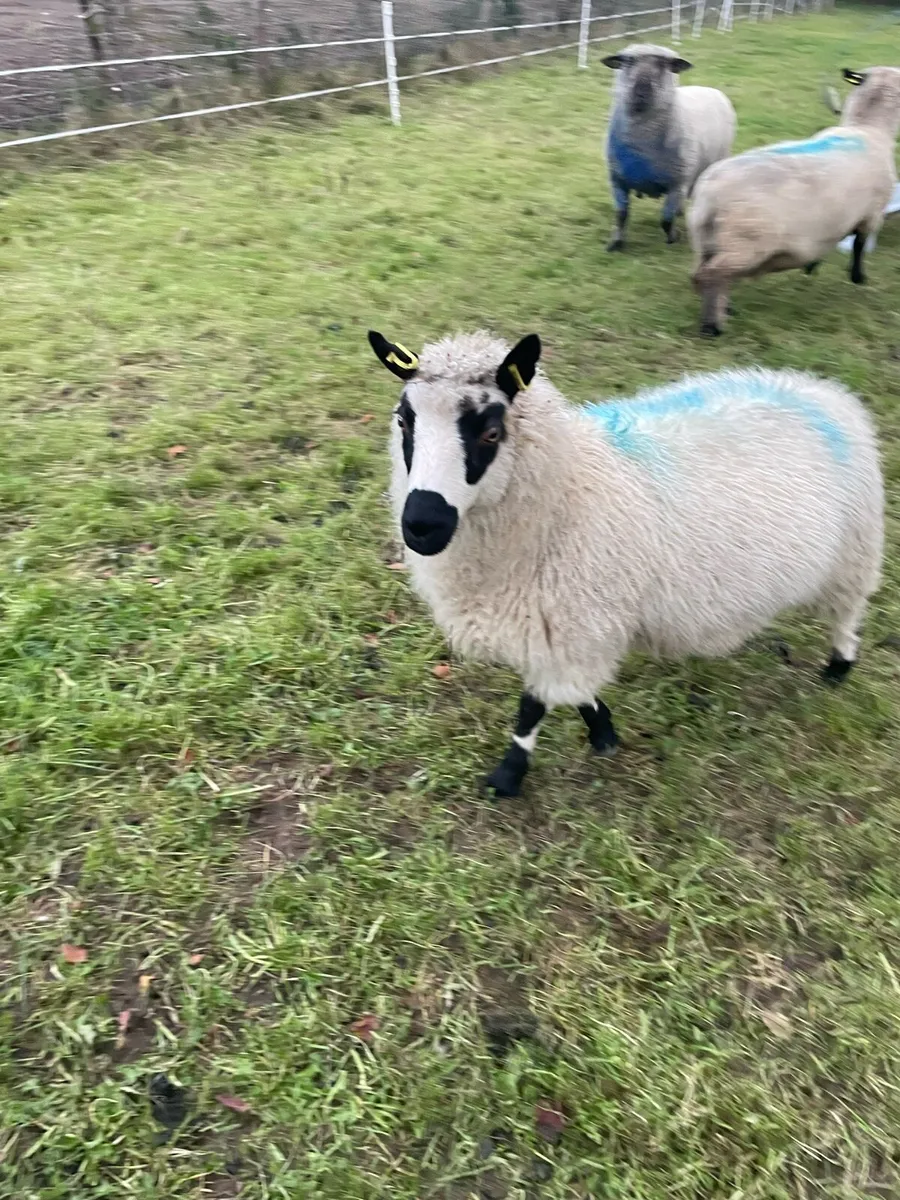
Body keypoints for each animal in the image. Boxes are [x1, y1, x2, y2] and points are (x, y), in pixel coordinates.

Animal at [367, 328, 883, 798]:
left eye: (492, 432)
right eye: (404, 422)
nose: (421, 524)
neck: (566, 489)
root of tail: (819, 387)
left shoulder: (570, 621)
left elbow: (533, 706)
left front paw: (510, 774)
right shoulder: (565, 627)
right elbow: (574, 693)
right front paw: (602, 730)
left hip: (854, 550)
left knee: (847, 613)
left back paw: (838, 667)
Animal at [602, 43, 736, 251]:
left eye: (663, 64)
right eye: (628, 62)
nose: (641, 91)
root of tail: (711, 89)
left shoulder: (676, 183)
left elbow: (665, 220)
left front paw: (673, 237)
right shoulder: (618, 180)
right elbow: (621, 215)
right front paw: (616, 243)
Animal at [688, 66, 900, 337]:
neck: (868, 128)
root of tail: (710, 192)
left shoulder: (831, 223)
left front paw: (811, 267)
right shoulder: (872, 214)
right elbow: (859, 247)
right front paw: (858, 278)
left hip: (705, 239)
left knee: (707, 275)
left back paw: (724, 309)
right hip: (745, 245)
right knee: (709, 276)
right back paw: (712, 326)